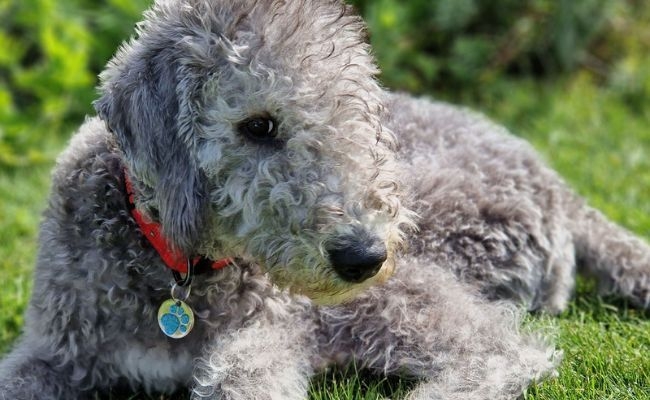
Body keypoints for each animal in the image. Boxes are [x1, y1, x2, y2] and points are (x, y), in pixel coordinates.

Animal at [1, 0, 648, 400]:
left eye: (354, 115)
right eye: (258, 126)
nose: (365, 255)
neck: (176, 268)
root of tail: (557, 184)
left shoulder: (267, 335)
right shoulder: (52, 349)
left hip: (389, 291)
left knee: (506, 351)